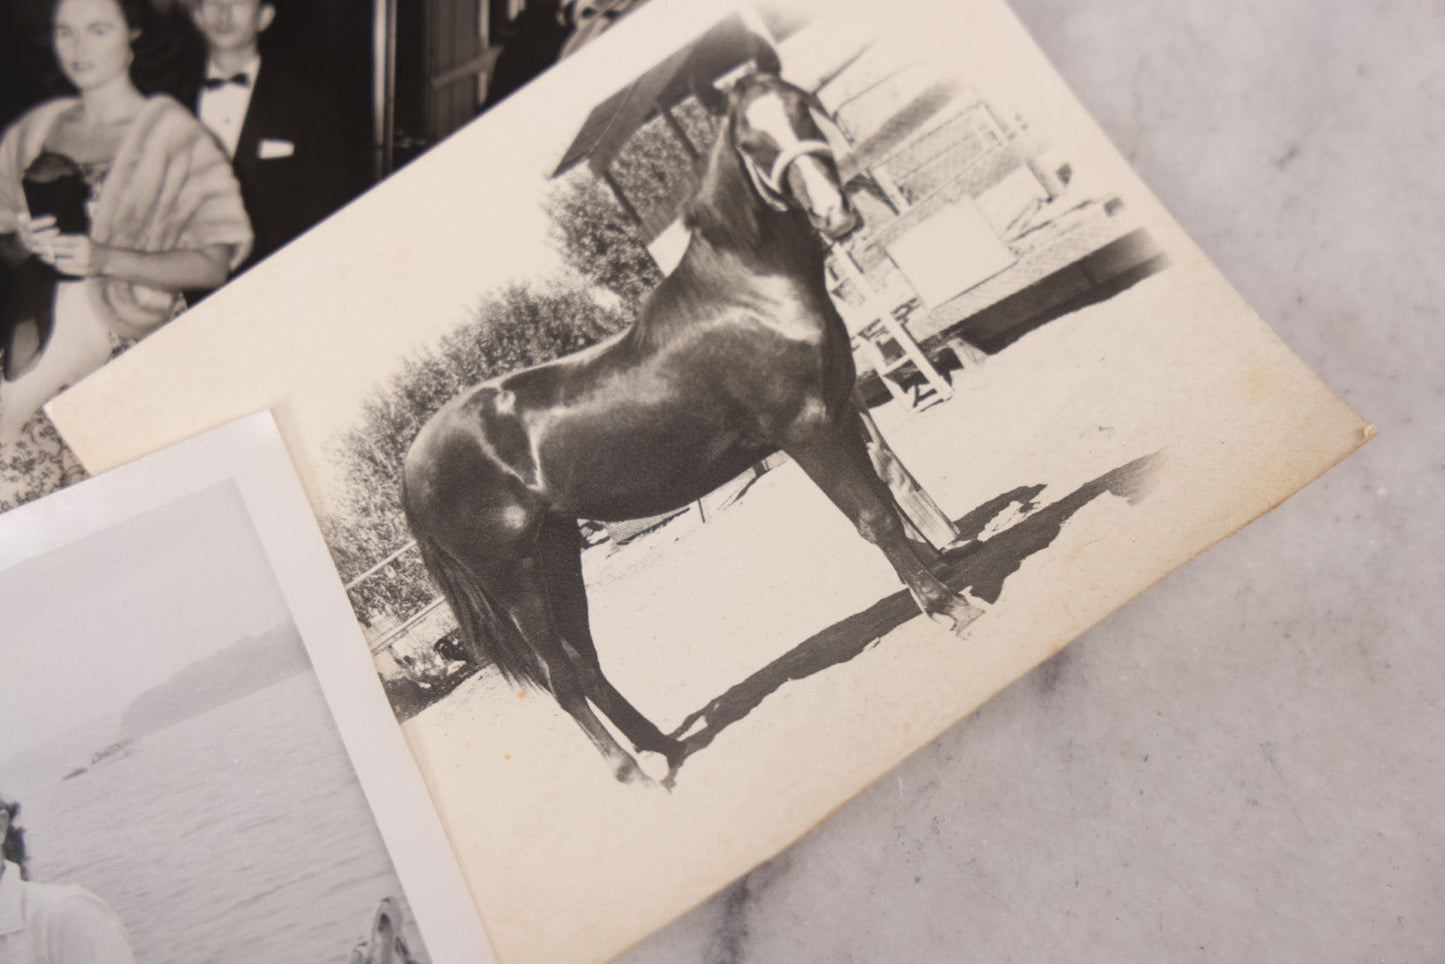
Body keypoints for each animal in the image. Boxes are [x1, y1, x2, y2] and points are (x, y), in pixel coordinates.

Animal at [401, 58, 984, 786]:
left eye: (802, 108)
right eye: (751, 141)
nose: (836, 210)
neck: (751, 293)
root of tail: (413, 465)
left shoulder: (840, 408)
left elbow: (888, 493)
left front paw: (948, 575)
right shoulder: (807, 430)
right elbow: (873, 518)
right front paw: (950, 608)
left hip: (557, 550)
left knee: (586, 662)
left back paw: (666, 750)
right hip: (515, 576)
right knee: (561, 677)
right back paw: (634, 776)